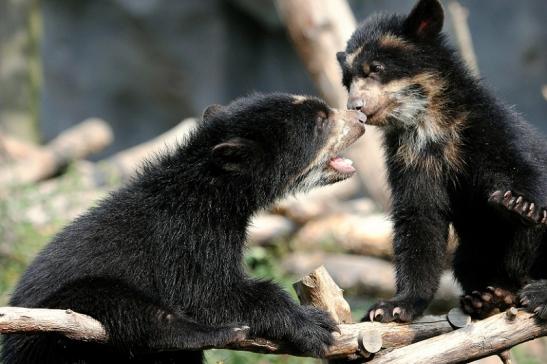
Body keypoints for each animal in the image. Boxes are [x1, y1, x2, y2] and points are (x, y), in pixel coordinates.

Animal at [2, 92, 368, 362]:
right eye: (321, 121)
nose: (361, 119)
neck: (214, 192)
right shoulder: (186, 236)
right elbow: (209, 294)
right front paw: (315, 326)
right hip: (54, 319)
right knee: (130, 311)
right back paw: (215, 333)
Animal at [336, 0, 547, 324]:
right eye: (348, 82)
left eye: (376, 69)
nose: (355, 107)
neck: (430, 124)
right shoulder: (409, 158)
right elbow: (419, 219)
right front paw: (391, 307)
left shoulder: (486, 125)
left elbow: (522, 166)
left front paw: (519, 203)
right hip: (474, 251)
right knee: (467, 263)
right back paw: (490, 298)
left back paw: (535, 295)